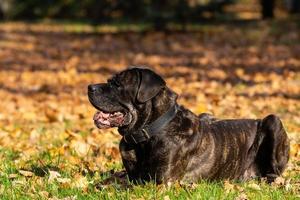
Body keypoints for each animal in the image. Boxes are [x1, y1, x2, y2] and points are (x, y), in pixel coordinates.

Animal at [88, 67, 290, 183]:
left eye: (117, 84)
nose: (89, 87)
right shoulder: (131, 174)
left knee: (275, 174)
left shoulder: (159, 182)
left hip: (272, 120)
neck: (145, 136)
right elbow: (114, 179)